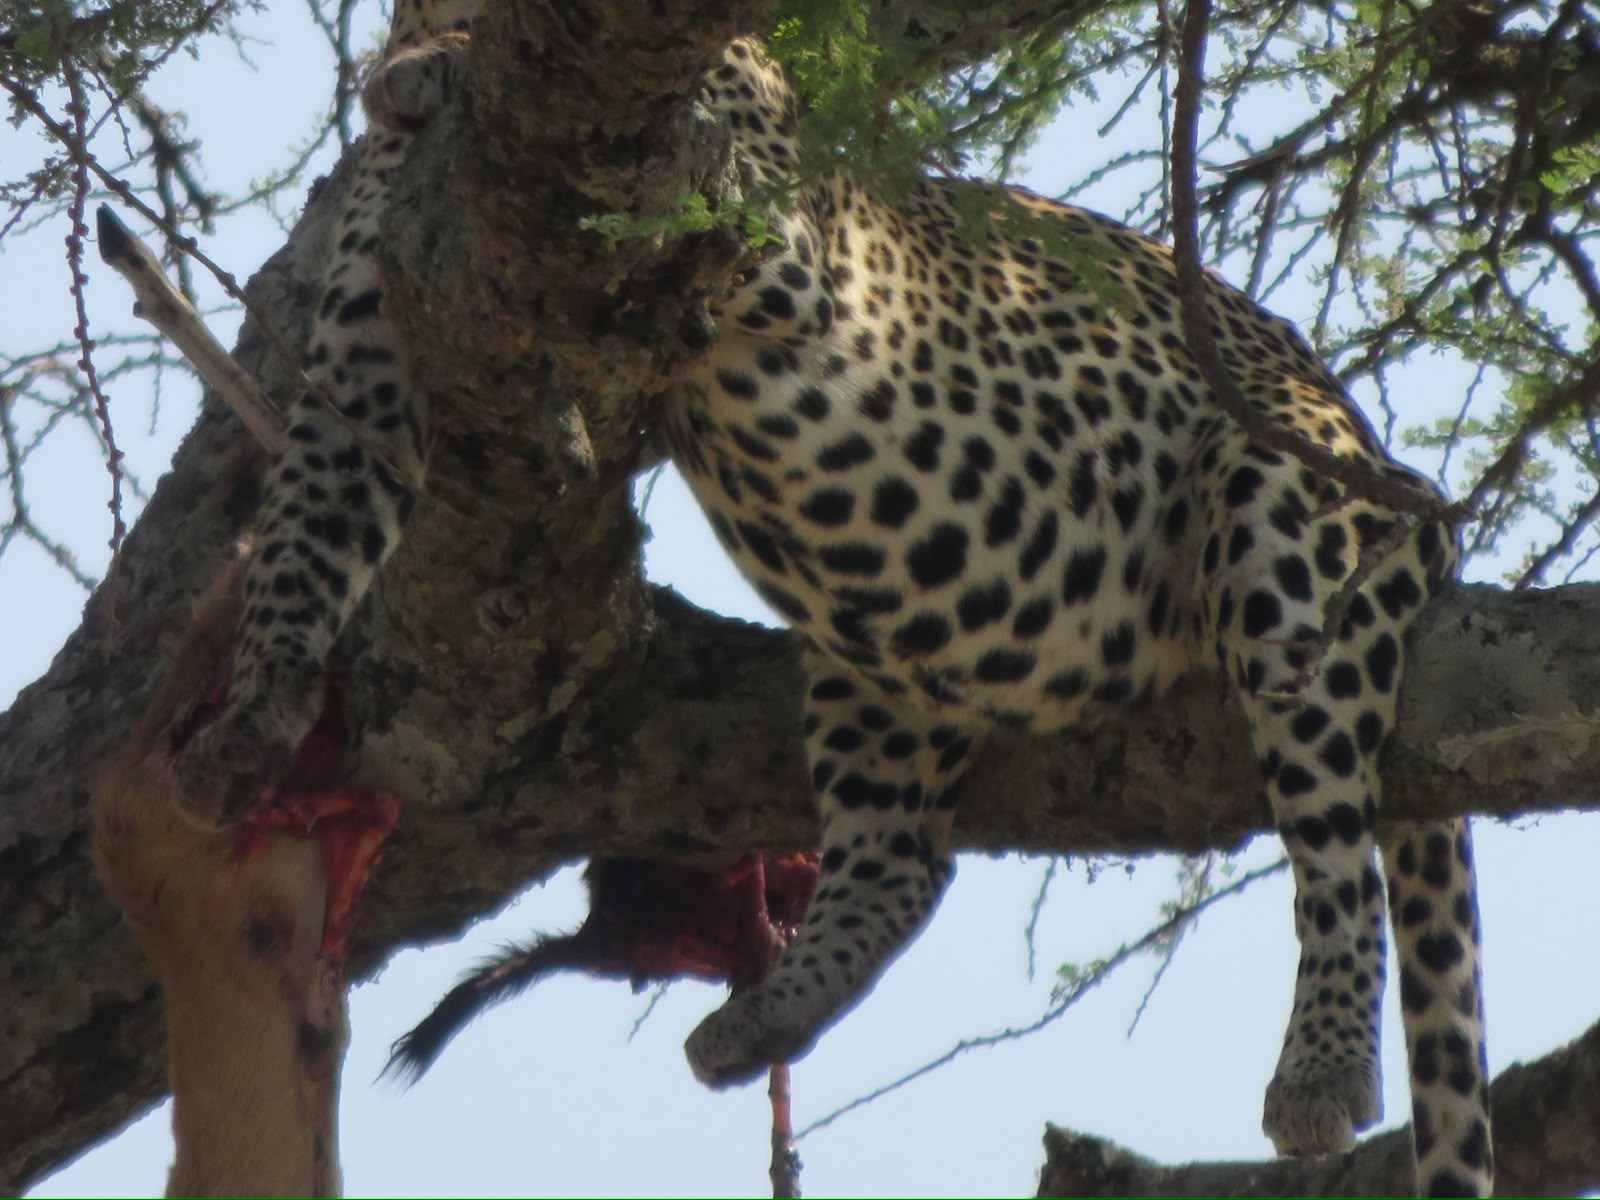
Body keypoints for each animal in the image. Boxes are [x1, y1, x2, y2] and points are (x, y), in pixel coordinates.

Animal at [169, 3, 1493, 1195]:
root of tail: (1389, 464)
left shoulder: (758, 216)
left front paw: (431, 67)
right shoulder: (368, 355)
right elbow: (304, 533)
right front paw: (251, 722)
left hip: (1278, 521)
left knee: (1334, 848)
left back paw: (1321, 1072)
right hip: (875, 650)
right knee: (901, 863)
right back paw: (765, 1015)